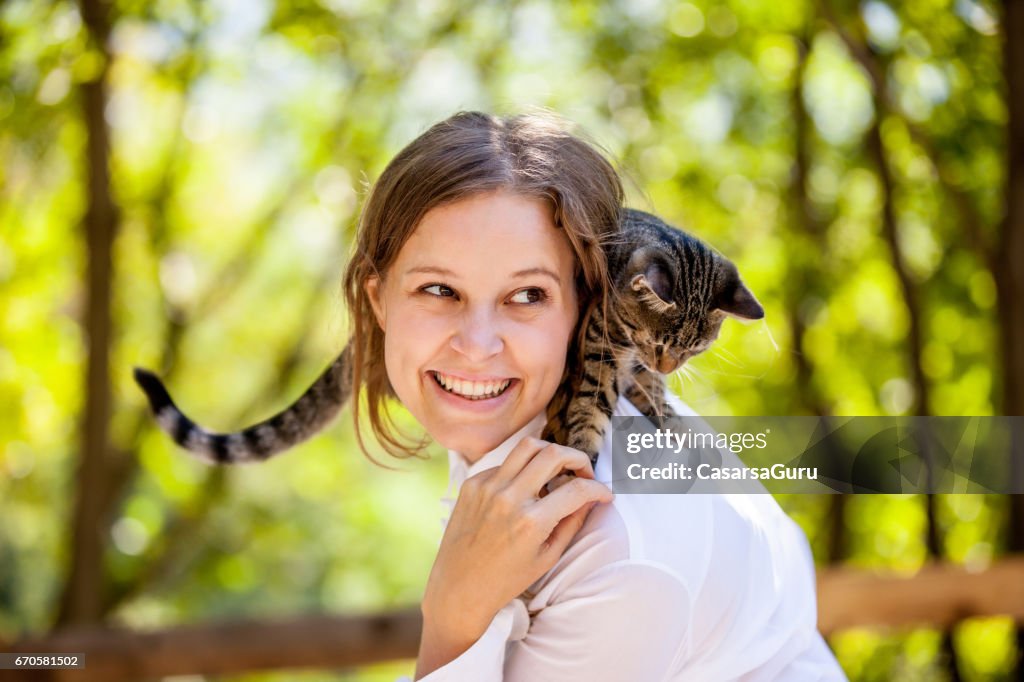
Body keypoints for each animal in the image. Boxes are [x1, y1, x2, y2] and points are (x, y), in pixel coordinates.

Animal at [134, 206, 761, 462]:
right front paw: (585, 443)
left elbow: (644, 394)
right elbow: (591, 401)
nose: (667, 364)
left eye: (694, 349)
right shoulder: (601, 343)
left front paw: (663, 410)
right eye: (662, 342)